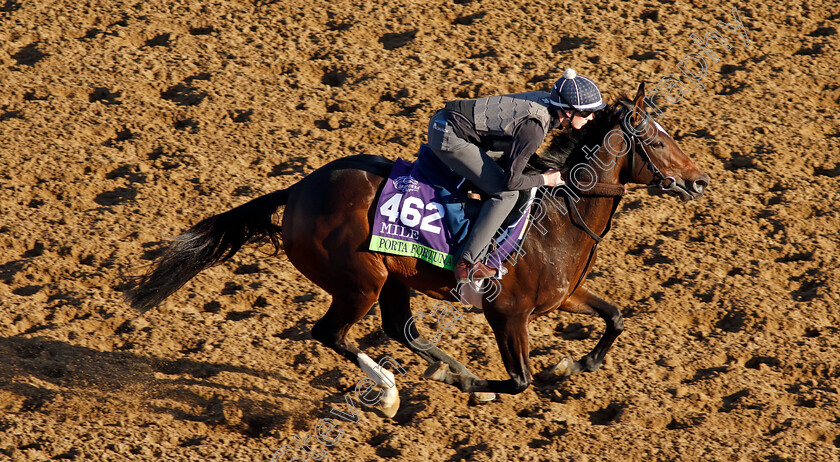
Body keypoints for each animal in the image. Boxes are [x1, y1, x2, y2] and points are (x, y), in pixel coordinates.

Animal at [128, 84, 712, 418]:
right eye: (655, 140)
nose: (700, 180)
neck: (557, 221)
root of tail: (297, 190)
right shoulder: (507, 314)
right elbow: (519, 381)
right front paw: (478, 382)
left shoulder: (564, 295)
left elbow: (616, 318)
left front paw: (573, 364)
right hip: (359, 282)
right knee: (331, 333)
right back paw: (390, 394)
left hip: (393, 281)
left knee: (399, 330)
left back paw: (430, 371)